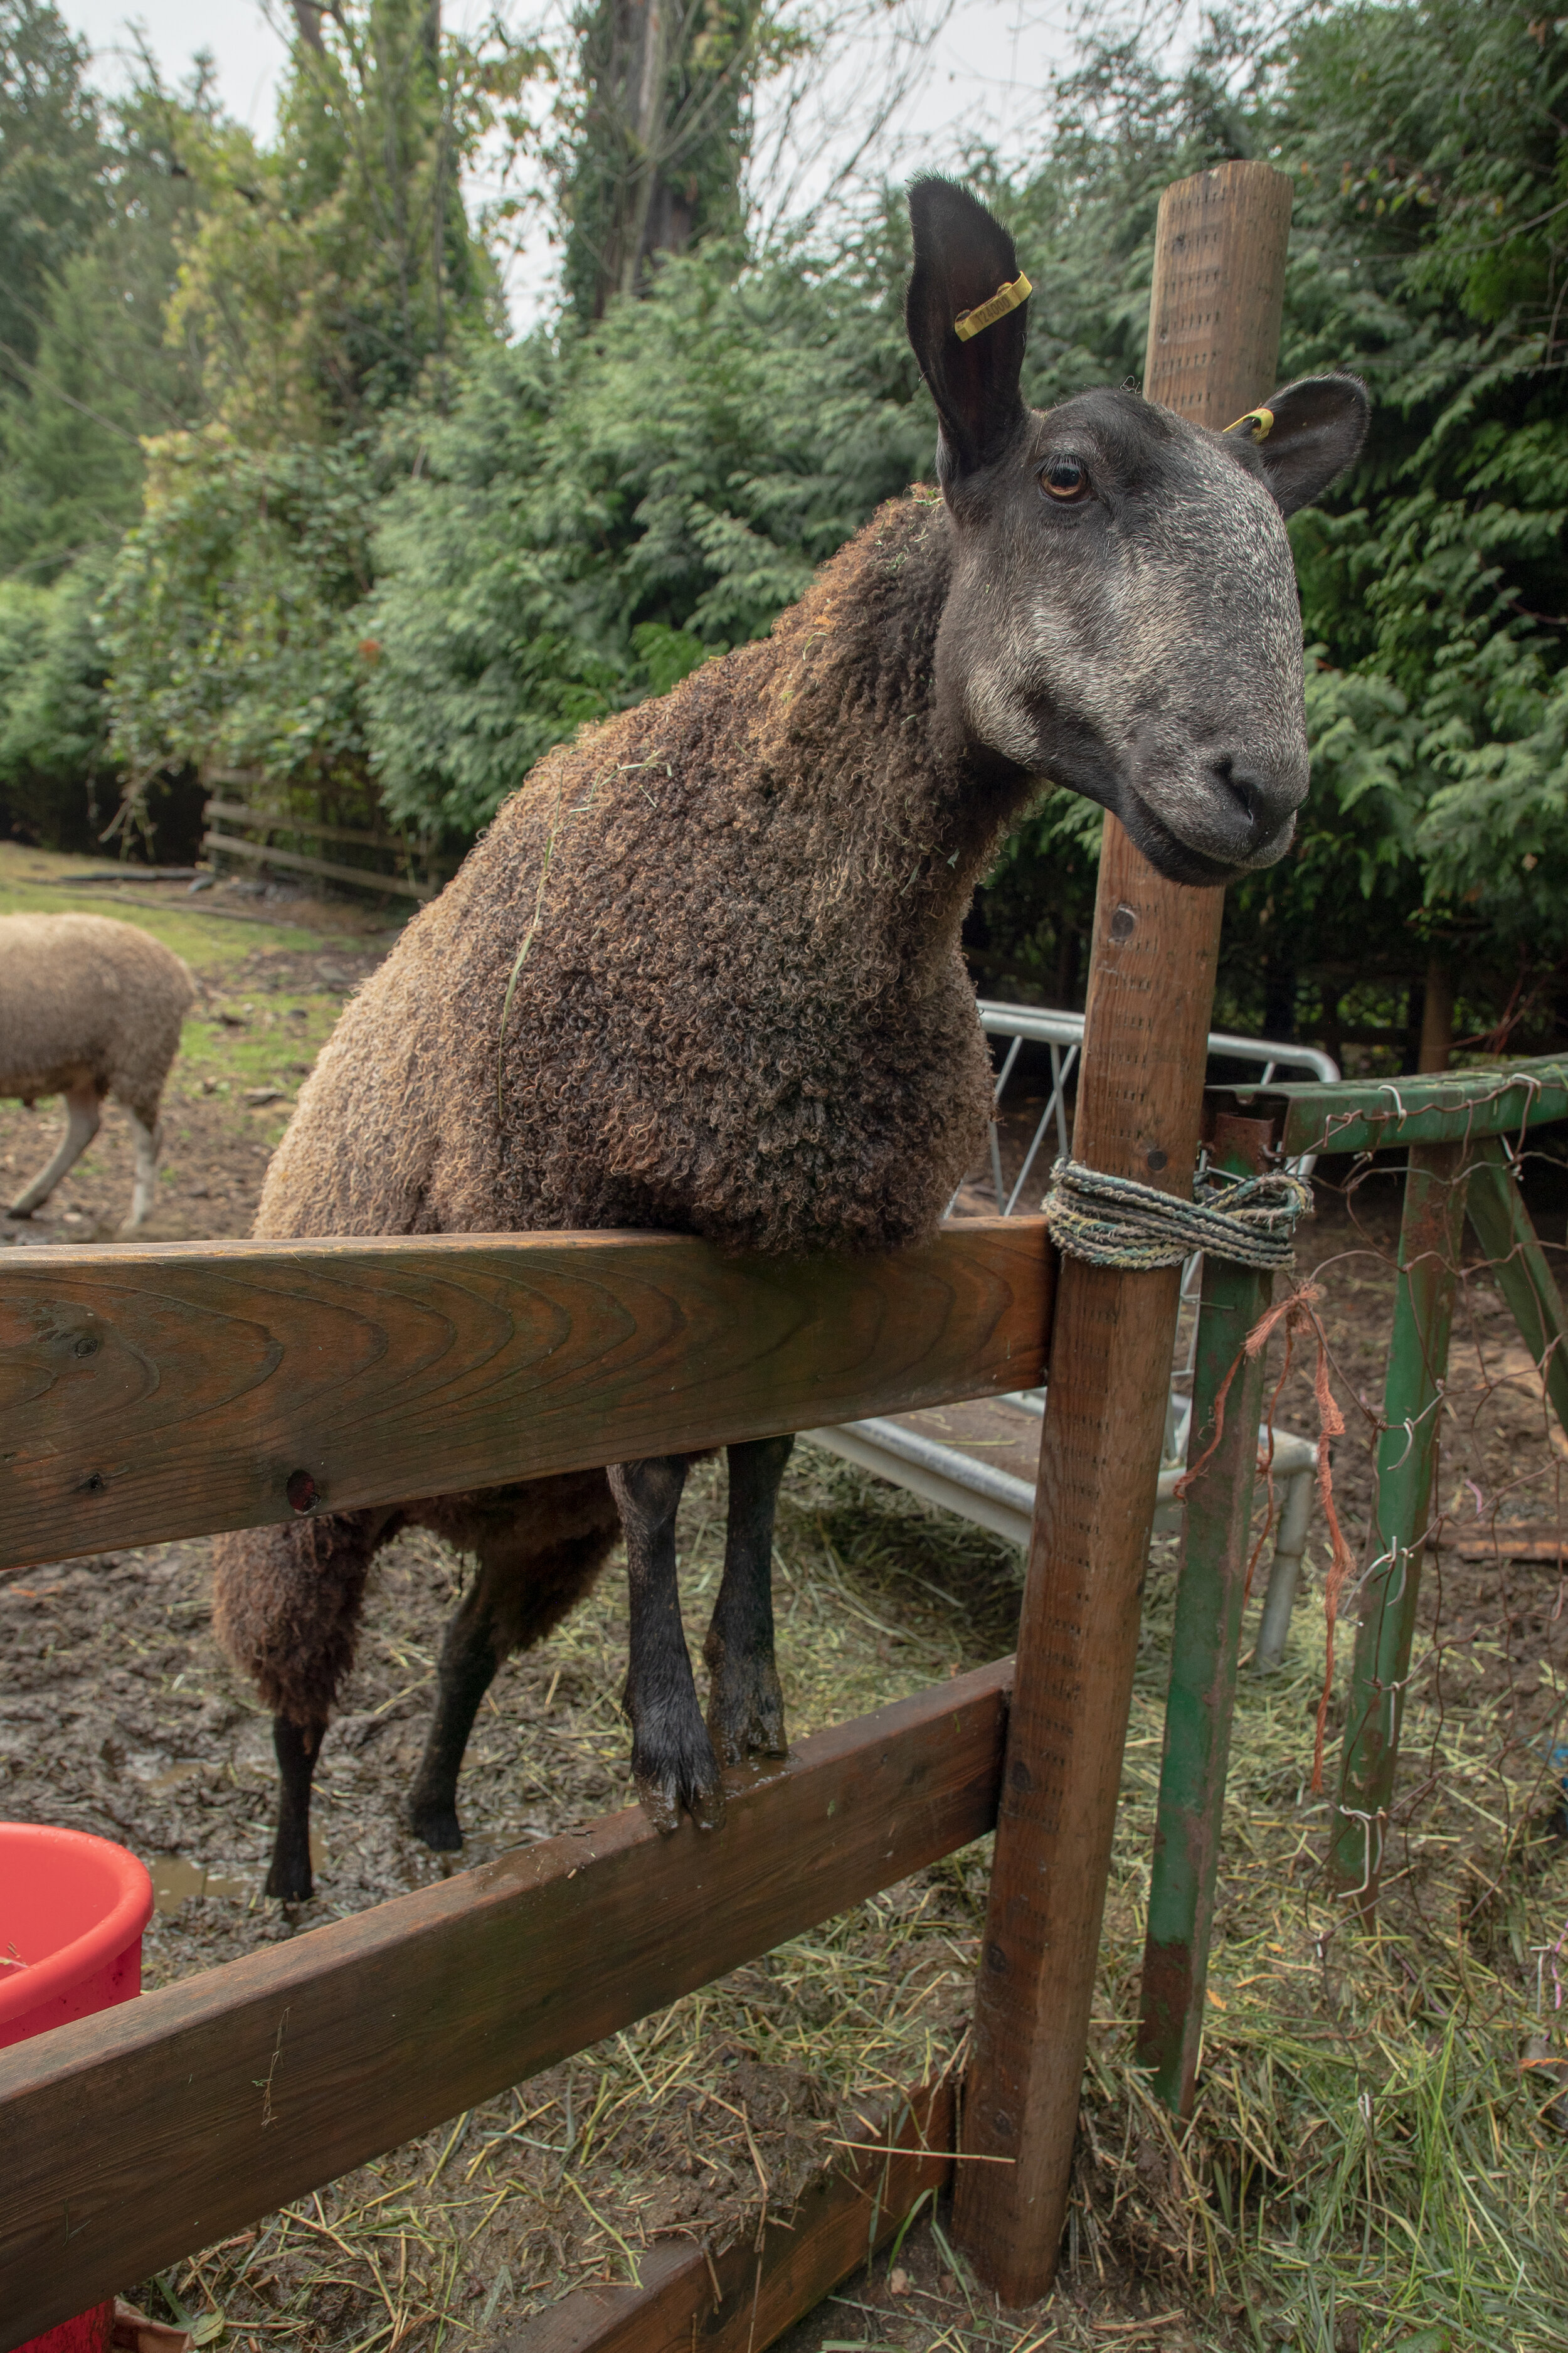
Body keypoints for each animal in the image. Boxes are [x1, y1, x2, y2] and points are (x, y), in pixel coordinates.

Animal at [0, 908, 194, 1242]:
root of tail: (177, 967)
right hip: (83, 1067)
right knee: (85, 1126)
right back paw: (28, 1201)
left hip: (139, 1055)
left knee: (149, 1137)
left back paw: (138, 1219)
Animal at [210, 174, 1365, 1901]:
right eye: (1067, 475)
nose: (1257, 789)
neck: (800, 891)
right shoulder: (600, 1232)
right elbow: (667, 1472)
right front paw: (673, 1743)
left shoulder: (813, 1249)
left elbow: (760, 1462)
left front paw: (750, 1700)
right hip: (303, 1515)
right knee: (294, 1693)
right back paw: (292, 1876)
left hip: (529, 1523)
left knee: (469, 1645)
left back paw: (432, 1814)